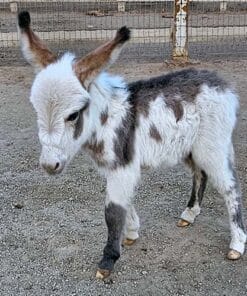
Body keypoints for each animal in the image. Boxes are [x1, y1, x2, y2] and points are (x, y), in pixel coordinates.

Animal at [17, 11, 245, 280]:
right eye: (36, 110)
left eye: (73, 115)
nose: (48, 165)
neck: (104, 120)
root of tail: (221, 83)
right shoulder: (116, 167)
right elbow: (124, 201)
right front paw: (131, 233)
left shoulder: (122, 166)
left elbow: (113, 211)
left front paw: (107, 261)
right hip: (191, 148)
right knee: (200, 174)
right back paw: (189, 215)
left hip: (212, 147)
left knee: (230, 187)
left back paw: (237, 245)